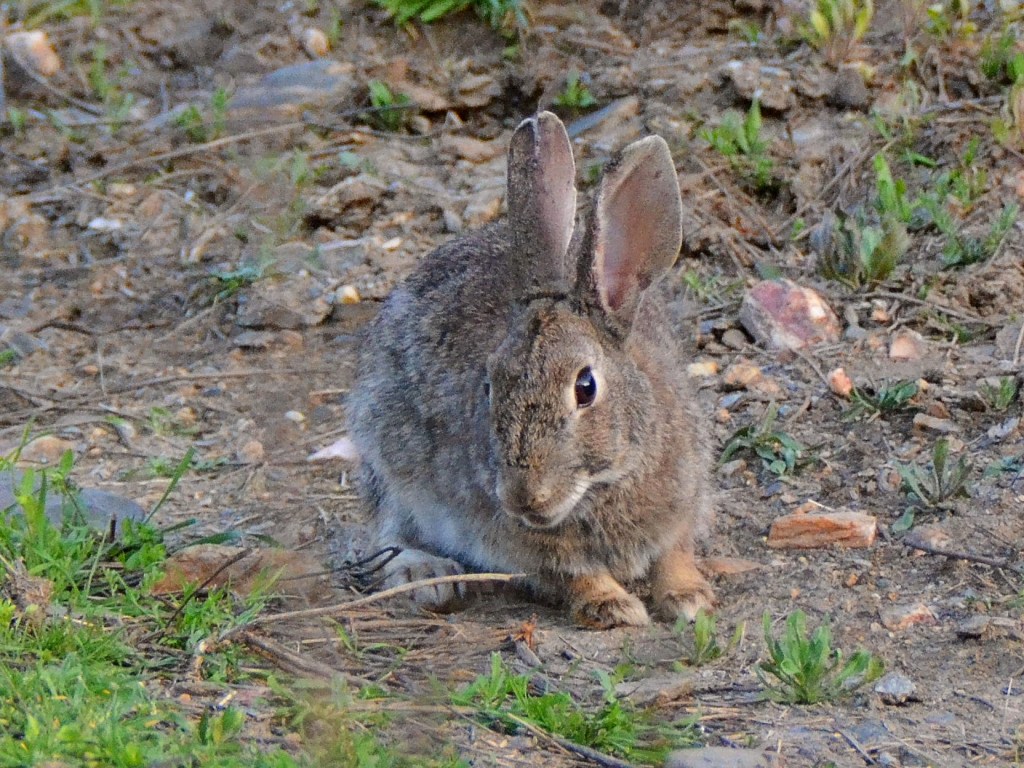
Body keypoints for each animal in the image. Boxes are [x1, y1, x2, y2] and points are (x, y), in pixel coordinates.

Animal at [346, 111, 714, 628]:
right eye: (488, 386)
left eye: (586, 387)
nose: (523, 497)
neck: (604, 483)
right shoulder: (526, 545)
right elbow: (576, 573)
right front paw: (614, 606)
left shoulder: (684, 500)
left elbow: (674, 555)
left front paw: (690, 597)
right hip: (388, 457)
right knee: (388, 528)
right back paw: (429, 573)